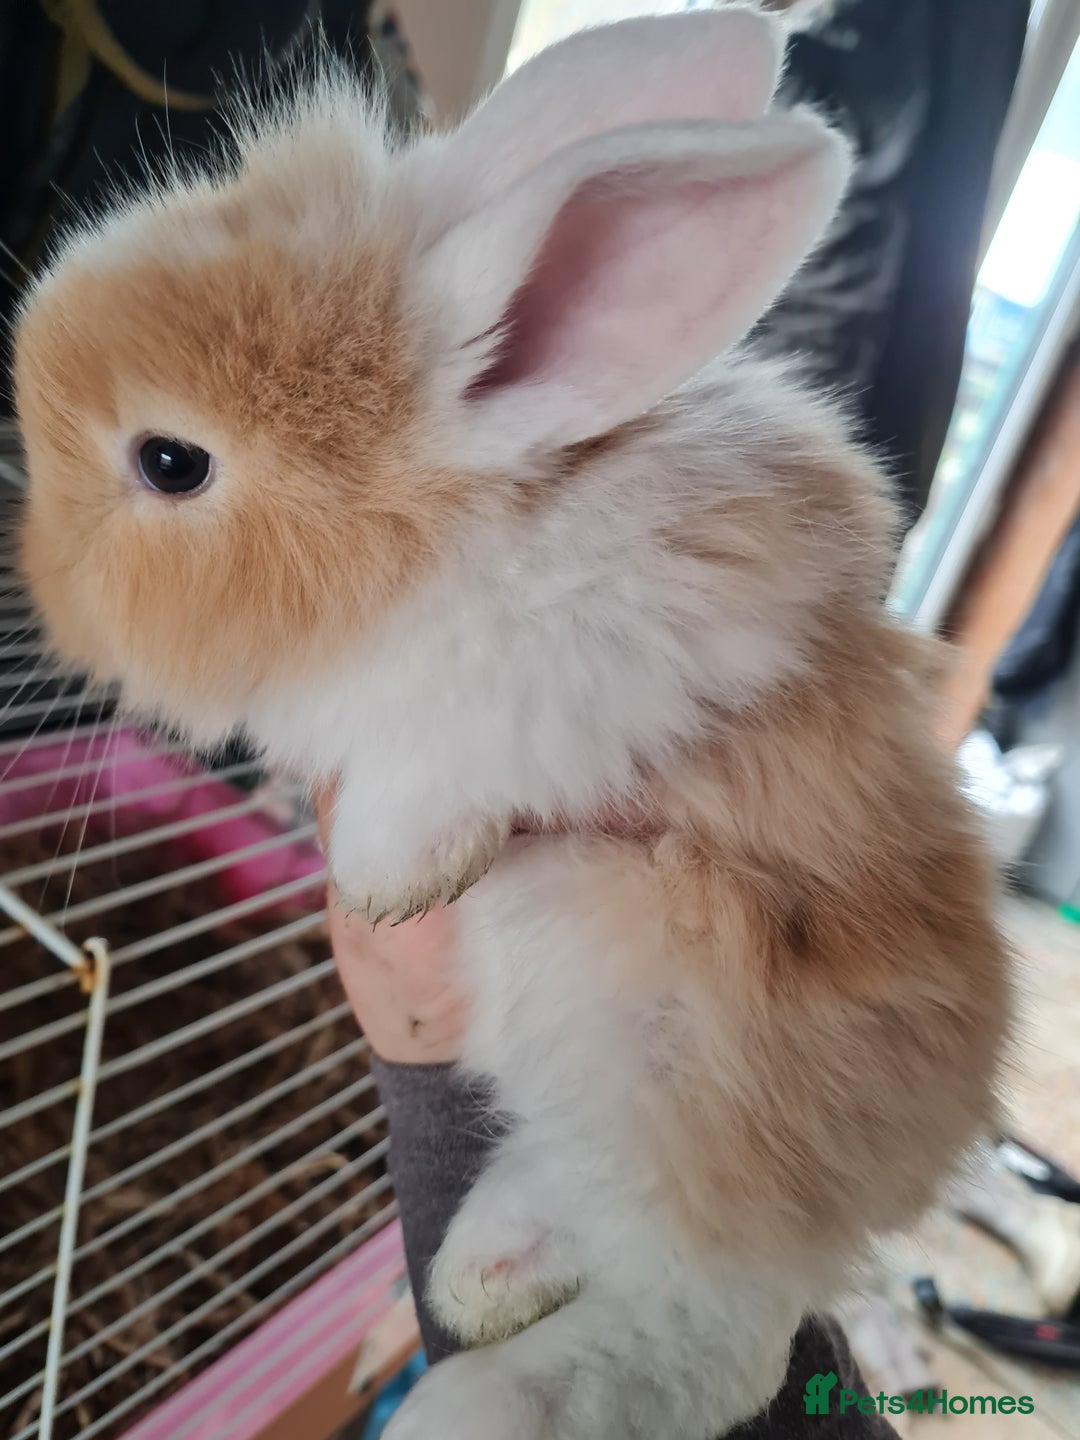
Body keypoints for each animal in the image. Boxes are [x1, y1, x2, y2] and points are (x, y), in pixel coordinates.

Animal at [14, 8, 1011, 1438]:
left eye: (169, 461)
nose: (42, 590)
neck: (434, 530)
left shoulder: (596, 664)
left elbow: (447, 763)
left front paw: (382, 877)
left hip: (650, 997)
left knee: (713, 1333)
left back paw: (482, 1400)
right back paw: (485, 1270)